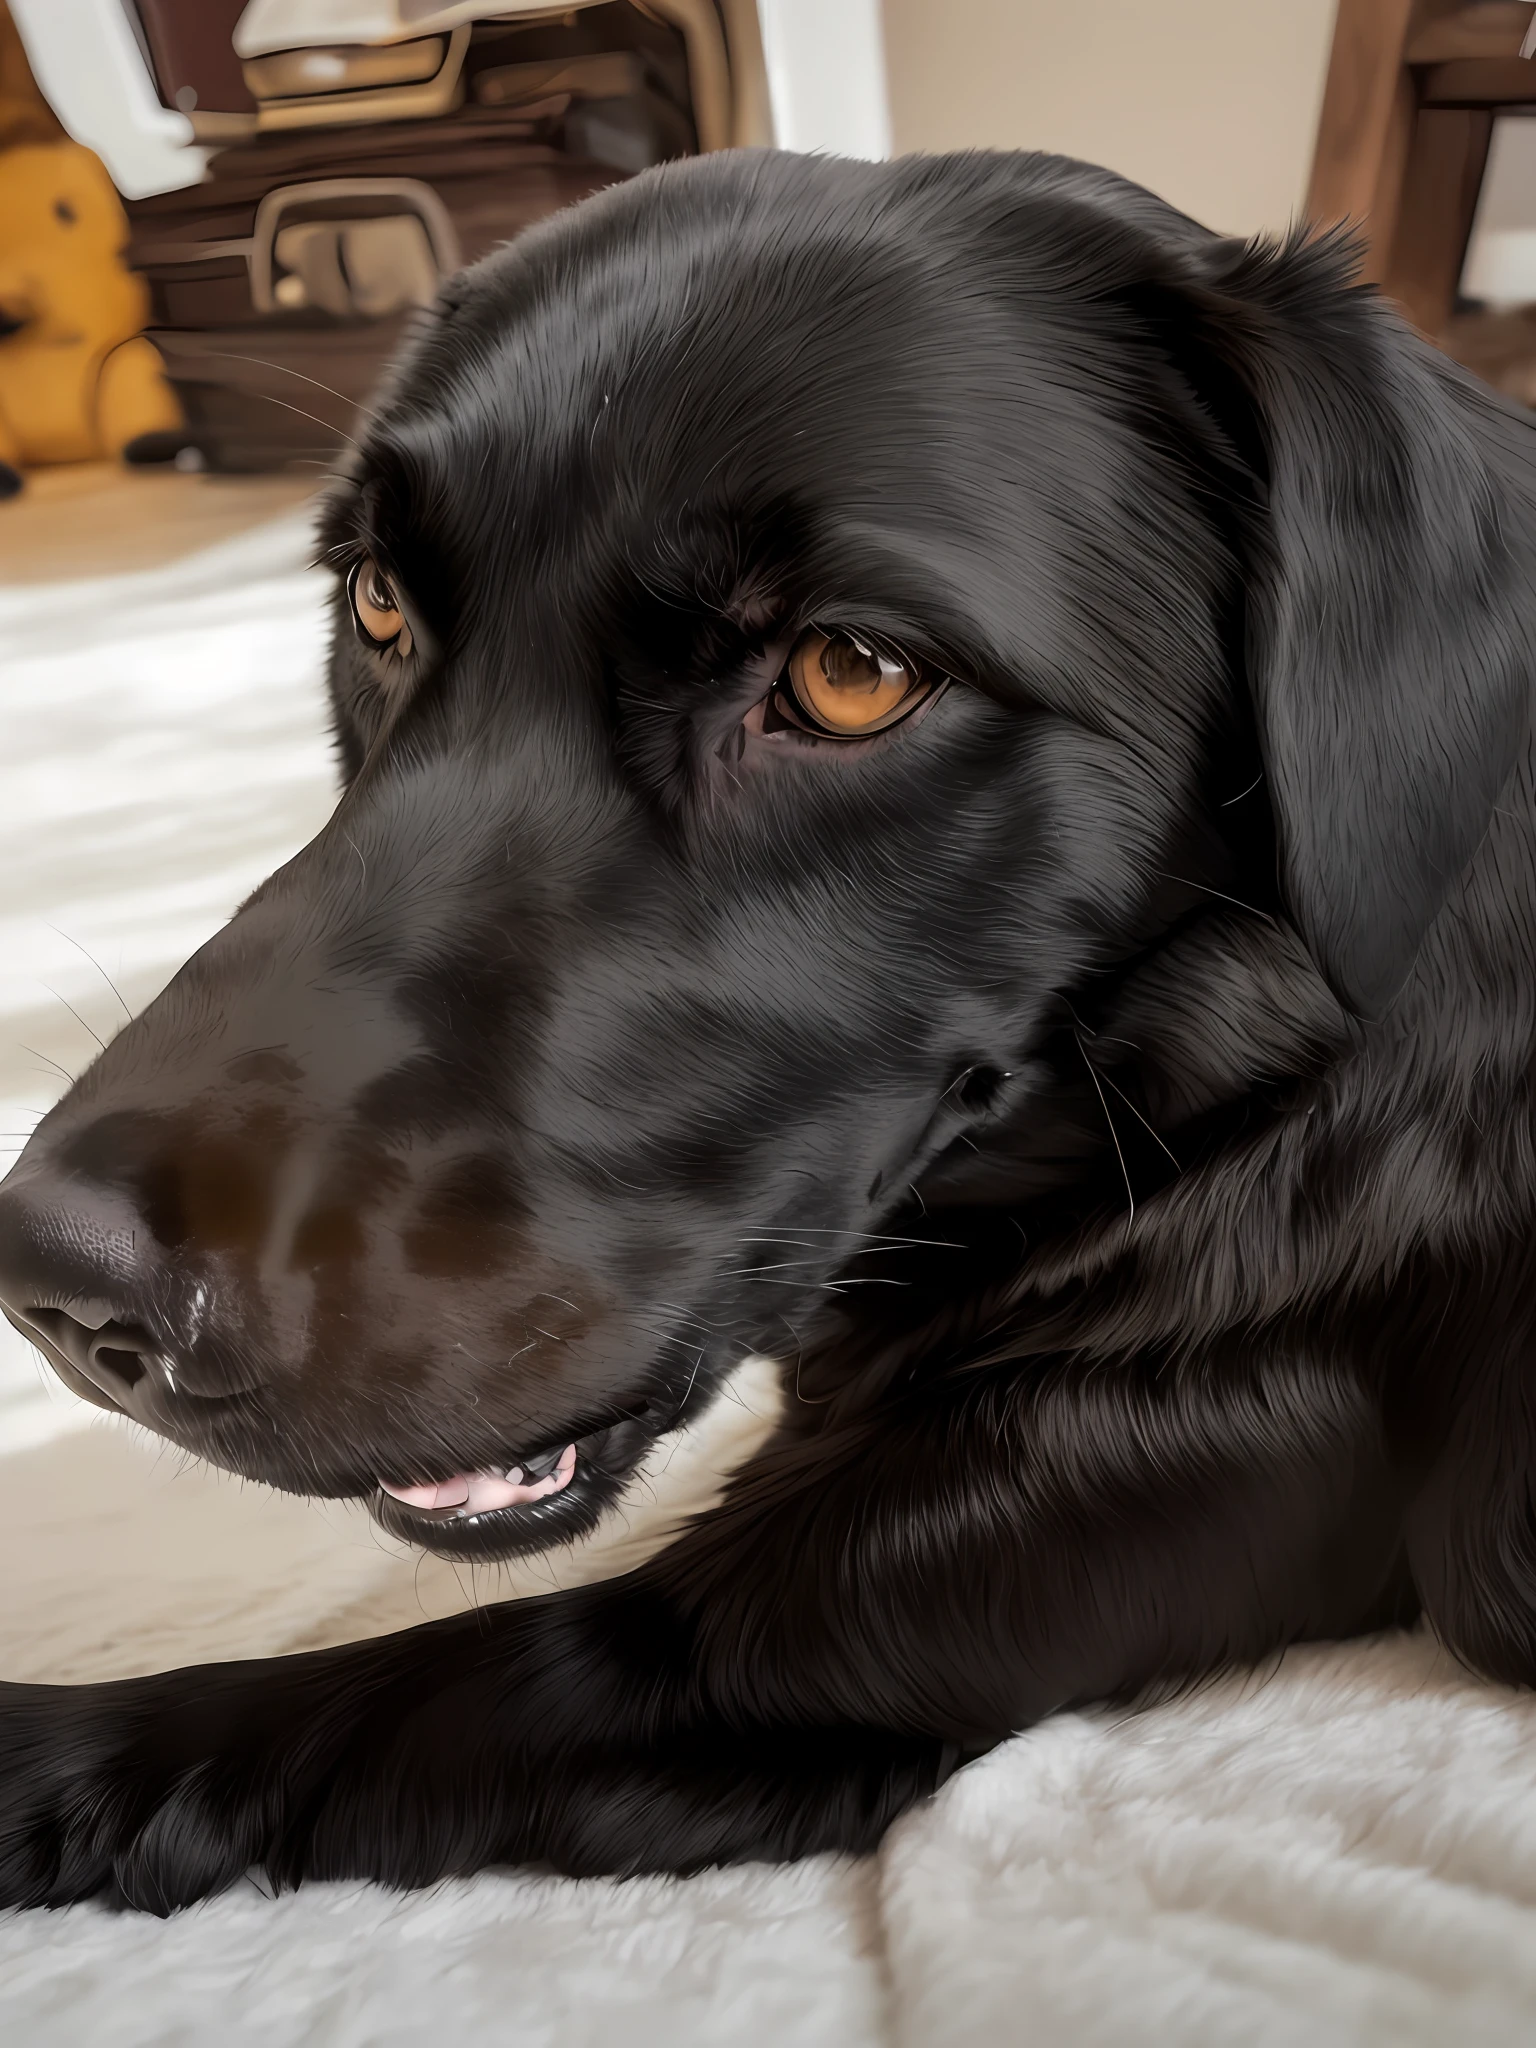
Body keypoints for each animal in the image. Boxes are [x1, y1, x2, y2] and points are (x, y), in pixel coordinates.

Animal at [3, 151, 1536, 1908]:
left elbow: (208, 1726)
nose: (63, 1290)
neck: (1228, 1095)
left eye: (851, 673)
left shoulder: (820, 1631)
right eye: (377, 602)